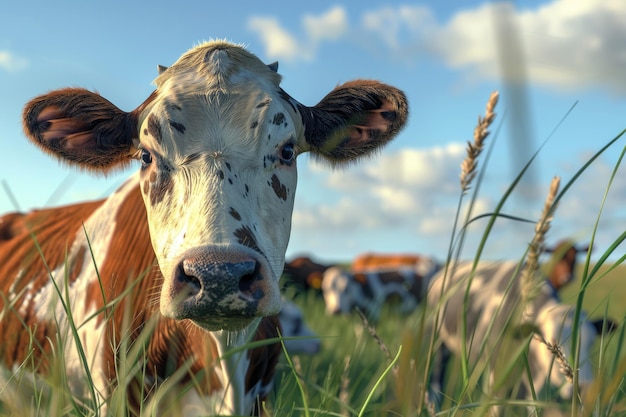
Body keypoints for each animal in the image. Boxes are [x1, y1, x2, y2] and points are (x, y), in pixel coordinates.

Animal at [426, 242, 612, 408]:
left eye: (591, 343)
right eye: (555, 346)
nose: (585, 387)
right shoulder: (497, 379)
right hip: (437, 340)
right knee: (437, 375)